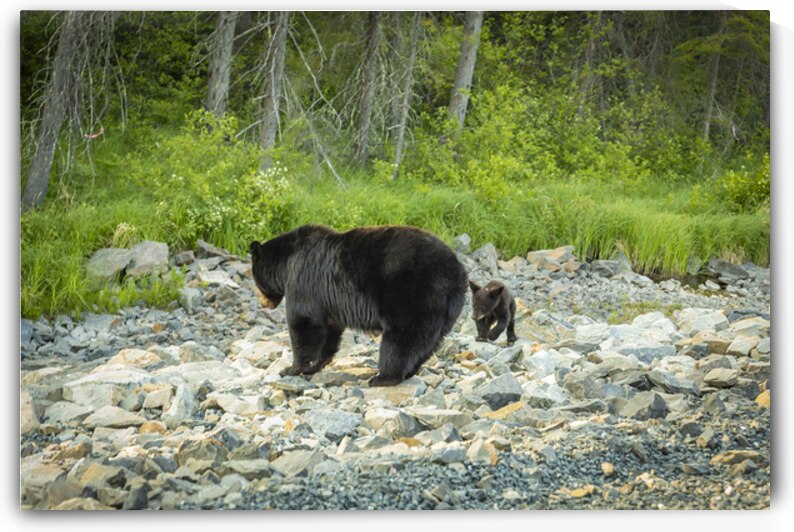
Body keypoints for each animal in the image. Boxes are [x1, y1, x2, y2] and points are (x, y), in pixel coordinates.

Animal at [250, 224, 468, 386]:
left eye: (255, 280)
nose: (263, 304)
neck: (286, 262)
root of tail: (456, 271)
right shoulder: (328, 303)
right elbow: (329, 331)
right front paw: (315, 365)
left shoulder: (303, 280)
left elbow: (304, 323)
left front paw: (291, 368)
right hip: (447, 310)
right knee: (428, 343)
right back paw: (408, 372)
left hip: (412, 294)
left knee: (401, 338)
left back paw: (384, 377)